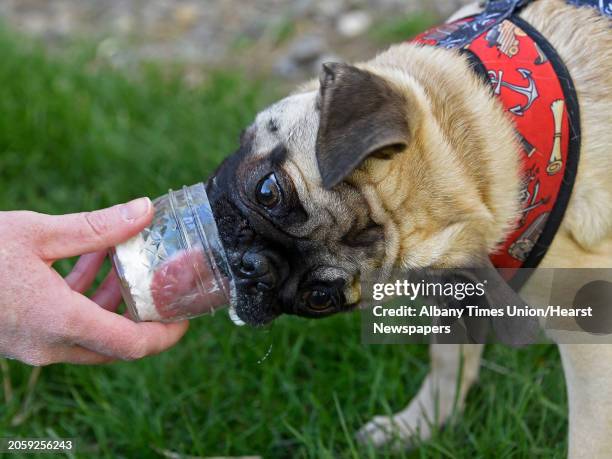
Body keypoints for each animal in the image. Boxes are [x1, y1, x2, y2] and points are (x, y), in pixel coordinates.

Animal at [207, 0, 612, 456]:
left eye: (320, 299)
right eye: (269, 191)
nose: (254, 266)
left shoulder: (590, 332)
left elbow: (589, 437)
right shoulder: (458, 292)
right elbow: (448, 365)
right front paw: (420, 426)